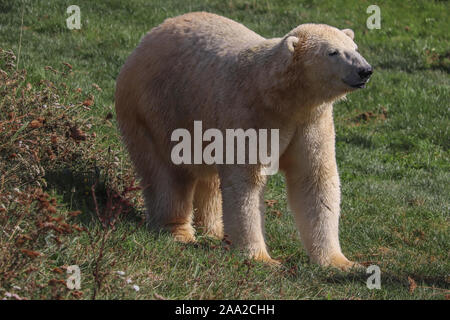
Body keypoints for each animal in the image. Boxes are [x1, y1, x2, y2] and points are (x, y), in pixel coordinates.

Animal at [115, 11, 372, 268]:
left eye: (354, 47)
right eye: (333, 52)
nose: (365, 70)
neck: (281, 96)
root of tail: (147, 38)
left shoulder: (311, 121)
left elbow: (314, 179)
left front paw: (341, 262)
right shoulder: (249, 113)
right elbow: (247, 181)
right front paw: (261, 258)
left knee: (209, 179)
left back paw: (215, 231)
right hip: (156, 109)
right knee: (168, 173)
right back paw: (179, 232)